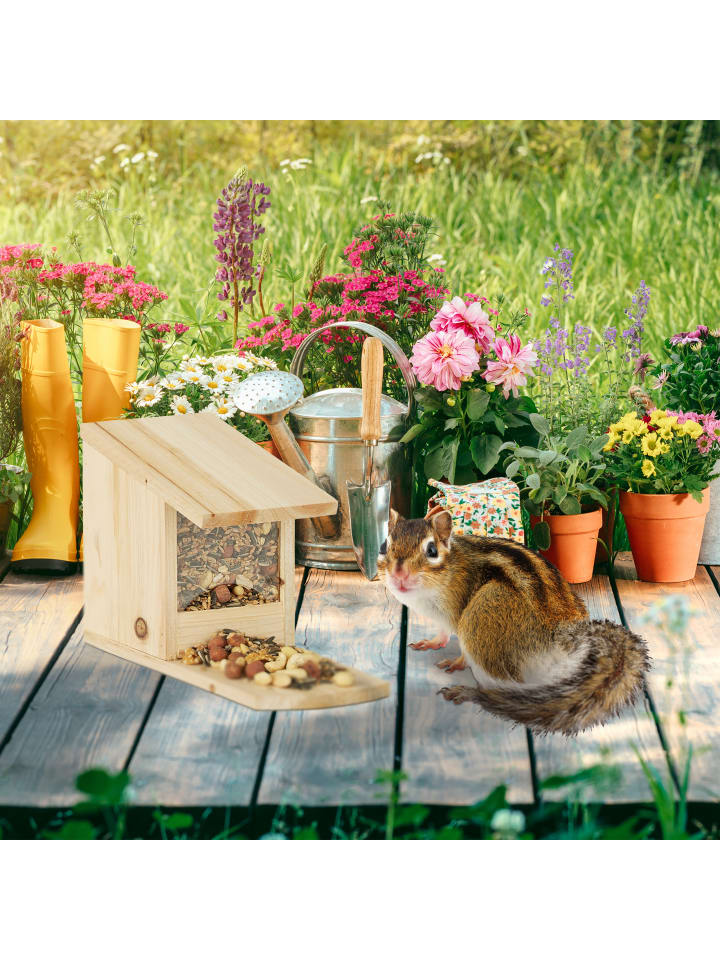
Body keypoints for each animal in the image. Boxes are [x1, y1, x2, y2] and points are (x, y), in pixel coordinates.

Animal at [377, 509, 650, 736]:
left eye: (432, 550)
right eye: (384, 545)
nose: (399, 574)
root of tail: (566, 639)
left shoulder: (457, 613)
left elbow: (458, 647)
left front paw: (456, 662)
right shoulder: (443, 620)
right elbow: (442, 634)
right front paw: (430, 643)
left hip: (481, 620)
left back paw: (468, 692)